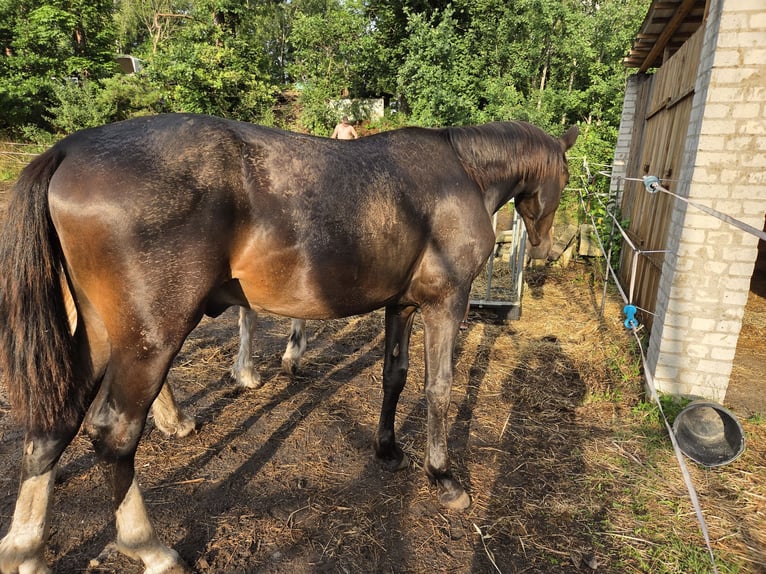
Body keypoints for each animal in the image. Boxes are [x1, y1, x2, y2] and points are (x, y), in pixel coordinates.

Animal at [0, 113, 577, 573]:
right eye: (566, 178)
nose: (545, 248)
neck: (460, 172)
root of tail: (70, 149)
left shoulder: (403, 306)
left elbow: (395, 376)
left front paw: (388, 449)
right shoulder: (445, 304)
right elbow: (438, 388)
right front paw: (444, 478)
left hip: (99, 333)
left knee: (55, 424)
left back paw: (25, 550)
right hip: (151, 339)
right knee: (113, 434)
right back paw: (150, 547)